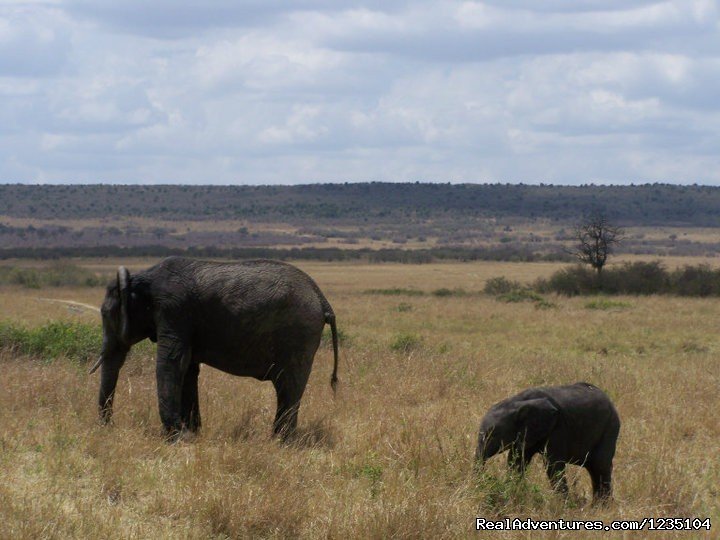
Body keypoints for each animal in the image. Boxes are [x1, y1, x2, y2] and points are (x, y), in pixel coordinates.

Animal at [90, 256, 340, 438]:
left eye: (107, 315)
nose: (109, 426)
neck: (142, 278)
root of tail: (323, 300)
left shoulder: (174, 311)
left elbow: (171, 362)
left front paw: (178, 438)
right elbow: (188, 369)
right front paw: (192, 434)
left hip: (299, 334)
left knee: (289, 384)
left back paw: (281, 441)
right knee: (287, 386)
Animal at [476, 384, 620, 502]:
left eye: (493, 434)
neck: (516, 403)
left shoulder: (558, 427)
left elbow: (553, 465)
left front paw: (564, 506)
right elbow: (516, 461)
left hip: (610, 427)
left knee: (600, 466)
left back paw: (601, 508)